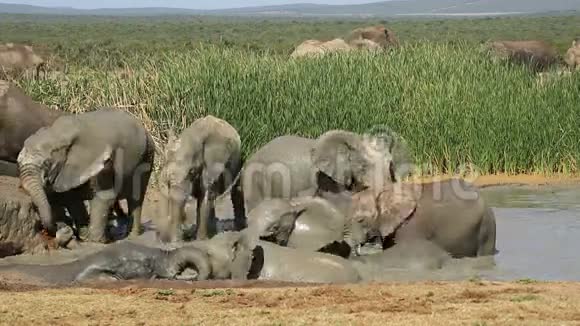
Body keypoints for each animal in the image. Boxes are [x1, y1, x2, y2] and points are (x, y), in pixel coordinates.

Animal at [17, 108, 155, 243]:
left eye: (47, 163)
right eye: (18, 162)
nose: (60, 228)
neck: (58, 134)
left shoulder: (103, 162)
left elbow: (105, 196)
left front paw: (96, 241)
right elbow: (70, 198)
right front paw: (84, 236)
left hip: (147, 157)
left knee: (136, 200)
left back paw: (132, 237)